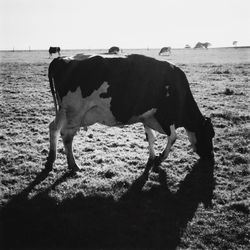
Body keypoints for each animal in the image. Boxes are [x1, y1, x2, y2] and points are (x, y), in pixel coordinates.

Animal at [45, 52, 215, 178]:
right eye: (210, 134)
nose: (211, 157)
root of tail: (62, 58)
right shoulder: (165, 115)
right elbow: (173, 137)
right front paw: (160, 158)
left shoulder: (148, 116)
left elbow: (151, 137)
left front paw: (152, 158)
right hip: (75, 111)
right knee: (66, 136)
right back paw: (73, 165)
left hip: (64, 111)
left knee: (54, 128)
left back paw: (51, 159)